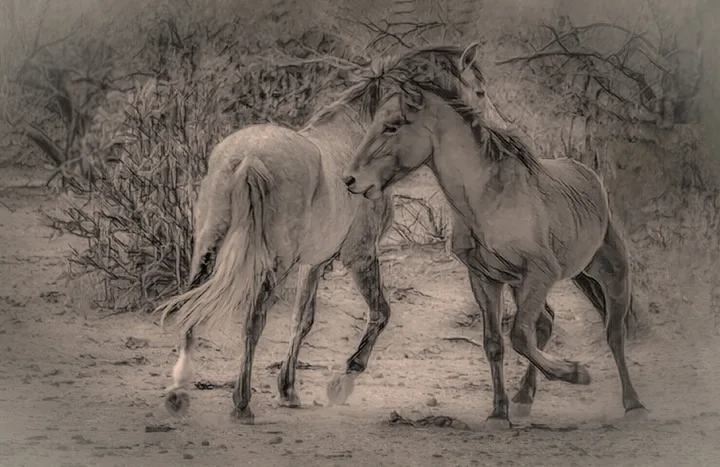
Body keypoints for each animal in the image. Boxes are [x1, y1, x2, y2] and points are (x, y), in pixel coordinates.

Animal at [152, 43, 491, 424]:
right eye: (479, 91)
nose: (483, 137)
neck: (359, 138)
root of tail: (248, 157)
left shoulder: (314, 263)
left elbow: (303, 319)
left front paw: (288, 390)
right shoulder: (360, 255)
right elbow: (381, 312)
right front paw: (342, 381)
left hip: (207, 248)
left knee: (189, 305)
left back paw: (179, 391)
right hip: (273, 263)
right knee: (253, 320)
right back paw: (241, 403)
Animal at [341, 77, 649, 430]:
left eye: (392, 126)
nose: (350, 179)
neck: (488, 200)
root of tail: (590, 176)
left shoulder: (540, 272)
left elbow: (518, 336)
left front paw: (576, 372)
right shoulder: (486, 279)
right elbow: (496, 344)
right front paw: (499, 413)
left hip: (611, 273)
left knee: (614, 334)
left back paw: (634, 405)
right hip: (523, 285)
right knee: (545, 323)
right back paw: (524, 398)